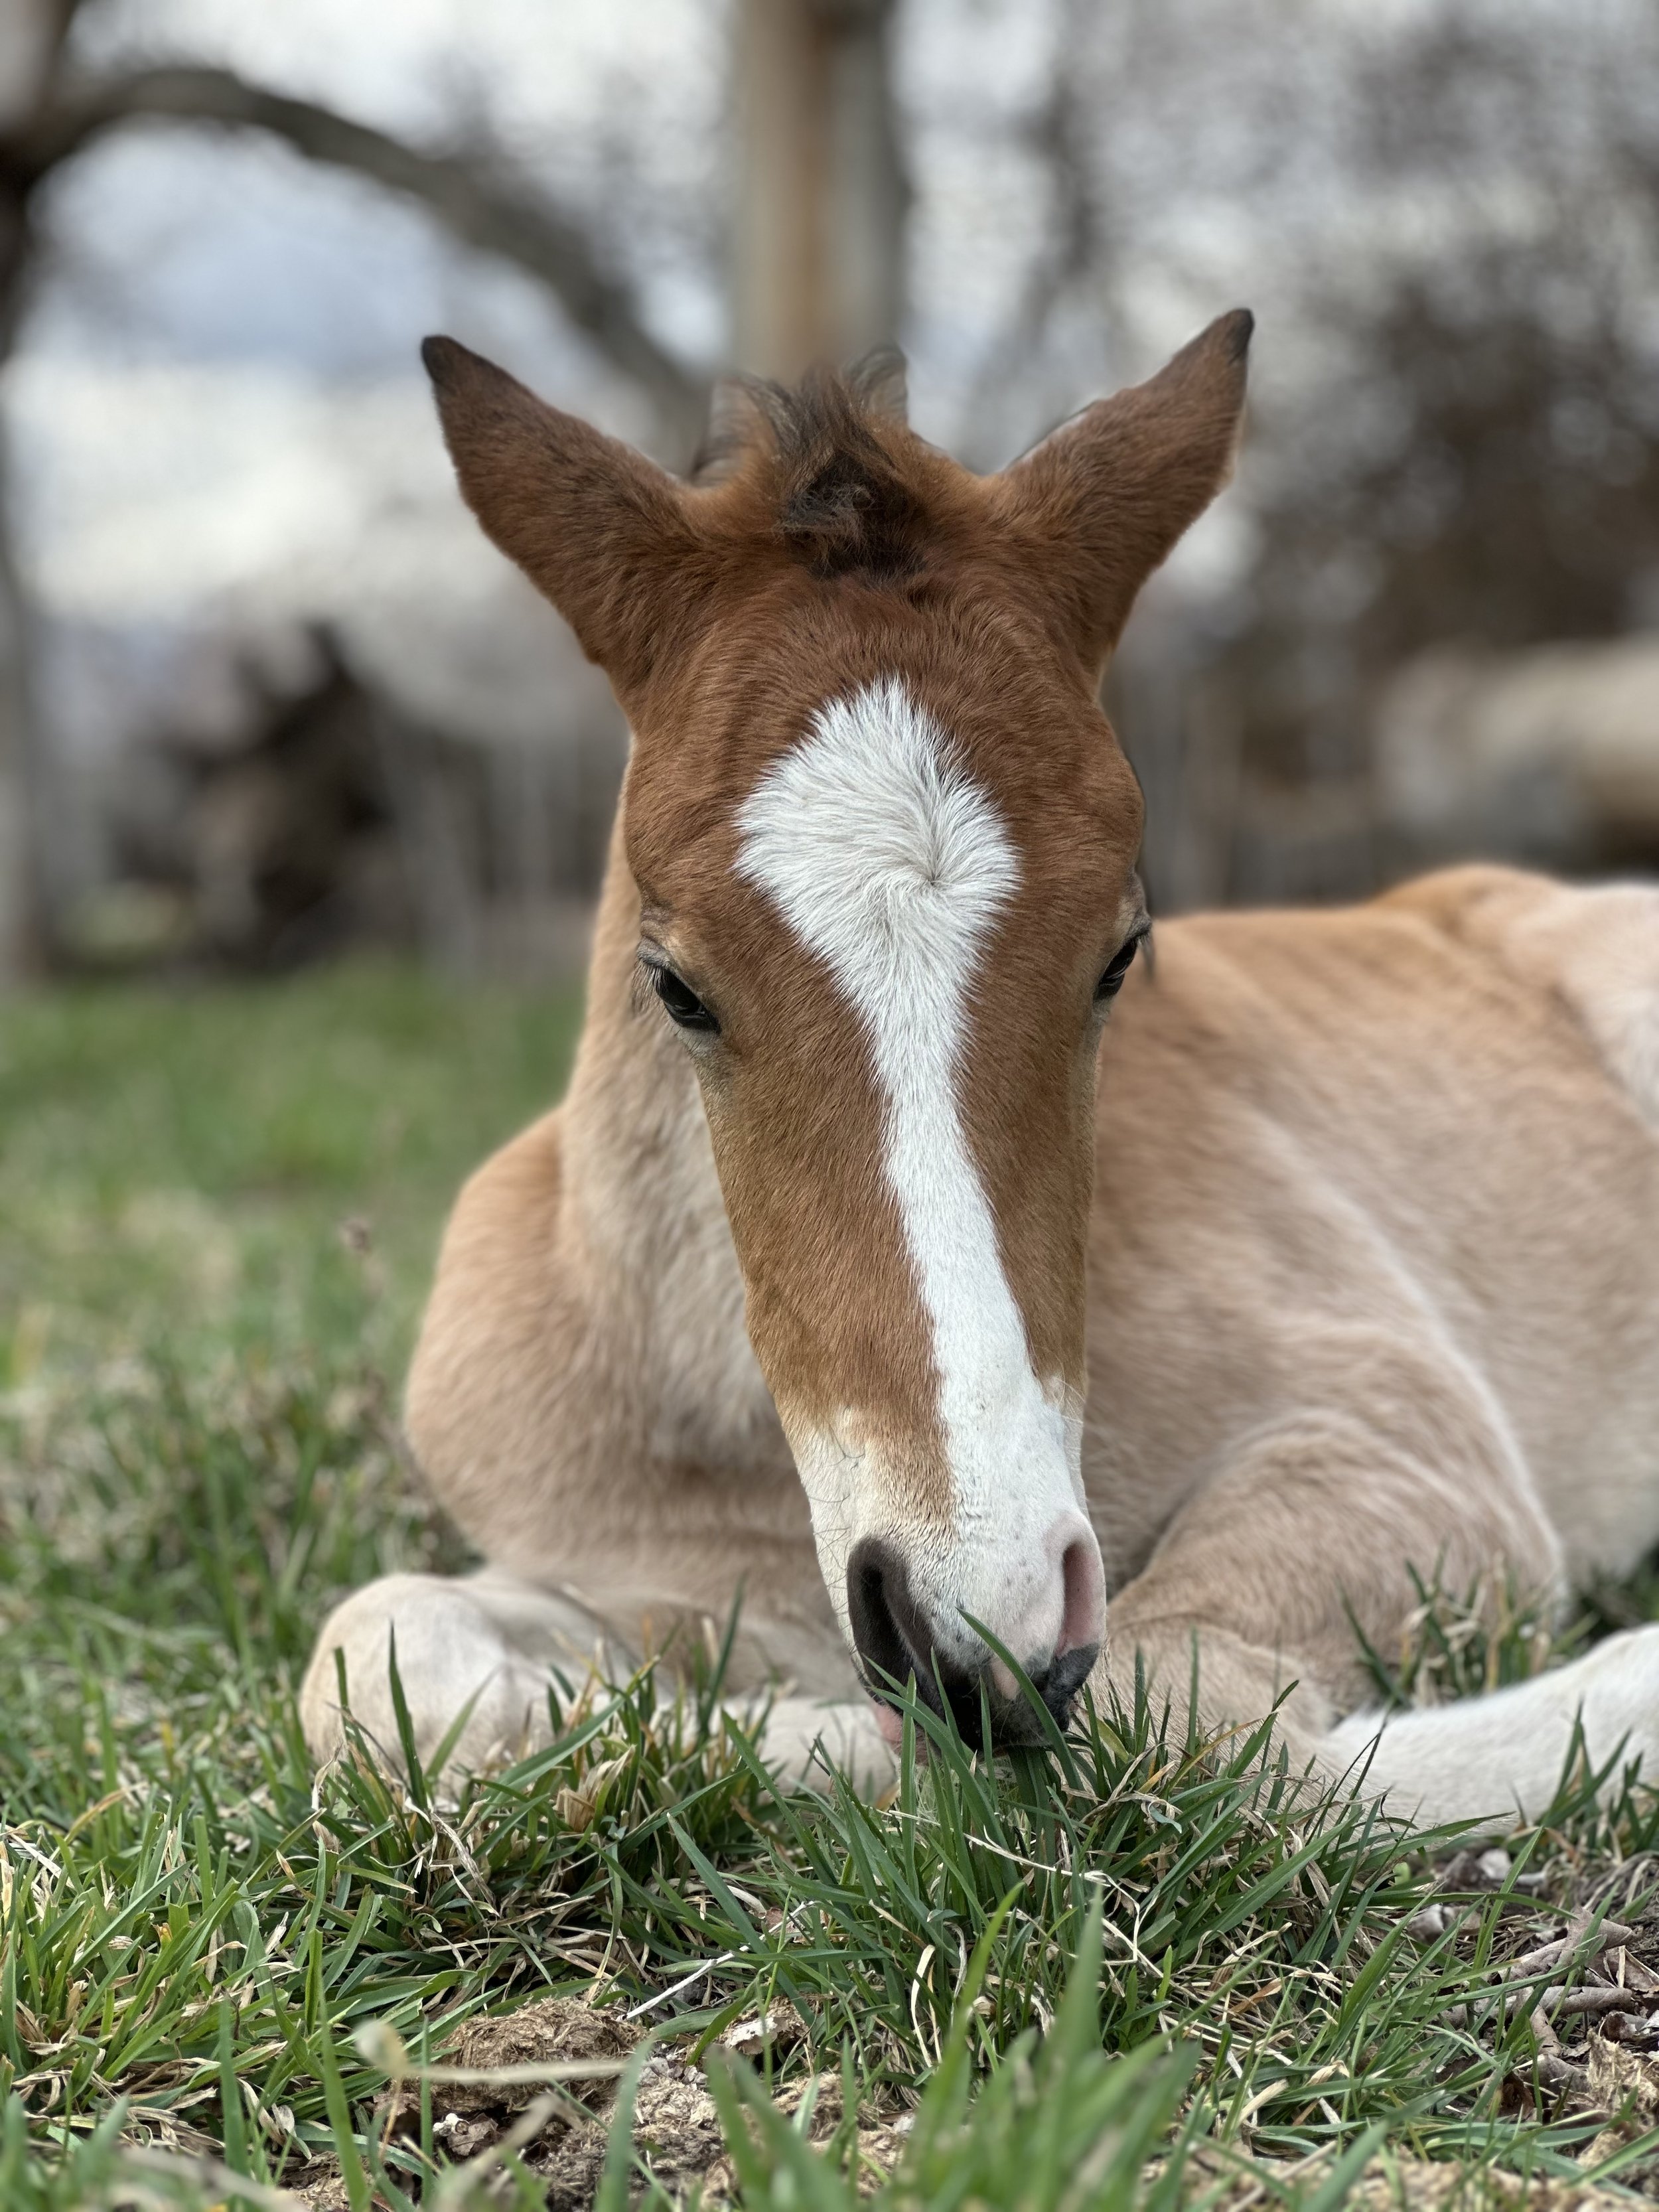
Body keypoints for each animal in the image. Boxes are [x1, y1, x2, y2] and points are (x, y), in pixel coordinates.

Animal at [300, 313, 1659, 1831]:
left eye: (1121, 951)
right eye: (676, 986)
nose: (978, 1626)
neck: (739, 1446)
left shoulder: (1402, 1449)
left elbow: (1179, 1717)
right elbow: (388, 1664)